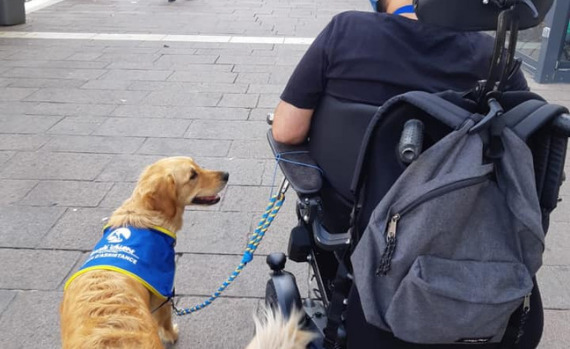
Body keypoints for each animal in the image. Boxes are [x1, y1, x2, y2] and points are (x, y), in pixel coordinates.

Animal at [60, 156, 229, 346]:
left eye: (197, 165)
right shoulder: (164, 293)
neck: (143, 213)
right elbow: (166, 321)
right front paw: (172, 335)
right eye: (193, 175)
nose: (226, 174)